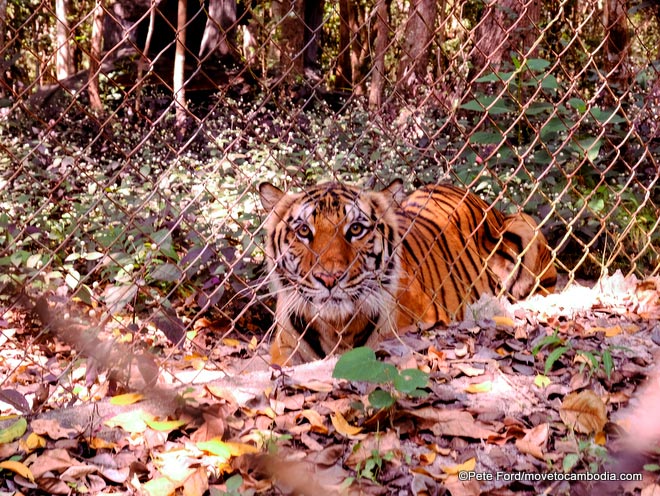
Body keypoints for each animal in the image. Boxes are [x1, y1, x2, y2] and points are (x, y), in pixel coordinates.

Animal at [258, 180, 556, 366]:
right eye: (303, 231)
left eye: (356, 229)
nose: (330, 278)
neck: (337, 326)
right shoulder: (284, 349)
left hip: (525, 226)